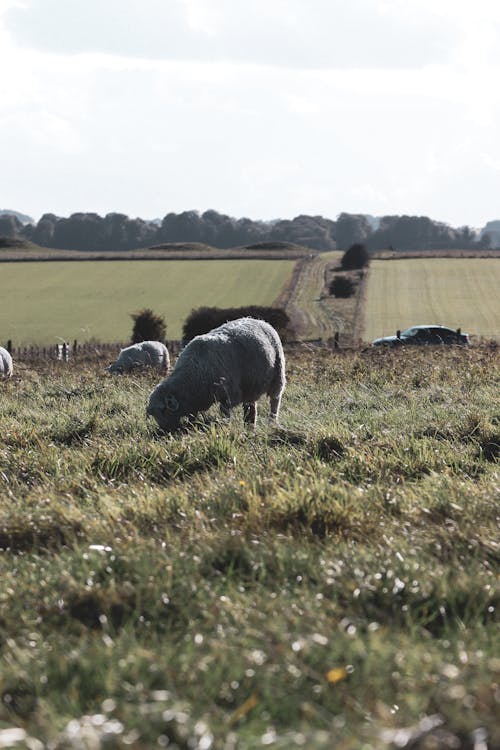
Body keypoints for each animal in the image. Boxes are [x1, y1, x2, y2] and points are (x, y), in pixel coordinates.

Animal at [145, 318, 286, 434]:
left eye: (163, 410)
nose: (165, 431)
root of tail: (259, 320)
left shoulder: (228, 395)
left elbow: (224, 412)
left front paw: (225, 426)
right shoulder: (194, 400)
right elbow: (192, 416)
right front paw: (192, 426)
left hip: (278, 374)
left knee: (275, 400)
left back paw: (272, 422)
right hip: (251, 385)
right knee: (251, 406)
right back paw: (250, 426)